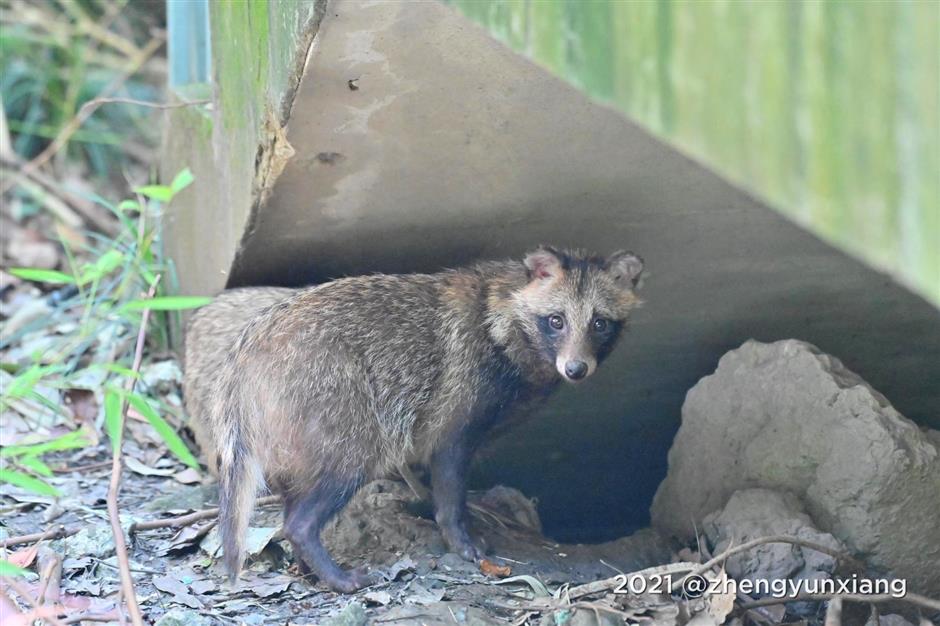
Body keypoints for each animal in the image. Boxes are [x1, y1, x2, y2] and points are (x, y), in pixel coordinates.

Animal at [187, 245, 648, 588]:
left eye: (599, 323)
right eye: (556, 321)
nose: (576, 369)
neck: (502, 317)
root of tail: (245, 357)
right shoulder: (457, 407)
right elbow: (449, 481)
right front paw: (459, 536)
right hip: (343, 414)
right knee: (303, 516)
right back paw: (330, 568)